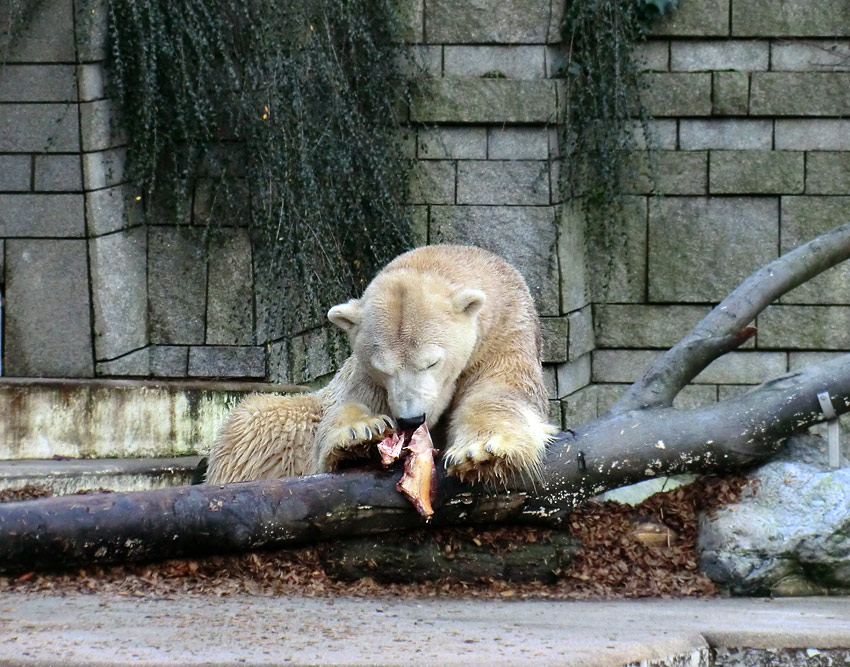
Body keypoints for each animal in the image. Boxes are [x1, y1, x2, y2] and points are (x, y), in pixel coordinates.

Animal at [203, 244, 552, 486]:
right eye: (382, 368)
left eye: (432, 362)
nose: (411, 419)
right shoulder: (362, 376)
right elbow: (348, 405)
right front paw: (360, 433)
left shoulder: (506, 334)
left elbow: (499, 395)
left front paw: (481, 453)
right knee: (258, 419)